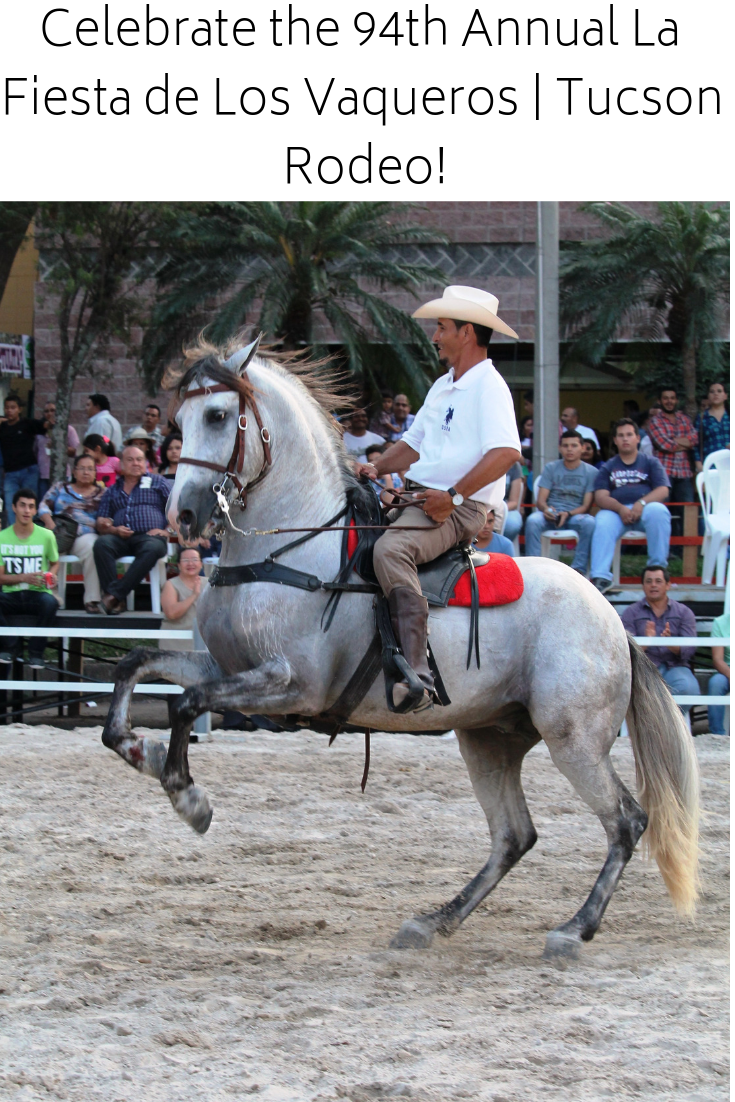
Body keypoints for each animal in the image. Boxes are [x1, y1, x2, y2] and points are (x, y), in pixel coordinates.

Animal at [100, 339, 700, 960]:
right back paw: (434, 921)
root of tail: (612, 621)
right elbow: (134, 667)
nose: (182, 515)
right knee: (514, 835)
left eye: (218, 416)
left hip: (573, 741)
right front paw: (137, 748)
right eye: (179, 421)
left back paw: (574, 928)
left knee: (626, 822)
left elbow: (186, 703)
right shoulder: (227, 666)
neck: (292, 550)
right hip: (489, 739)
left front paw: (186, 794)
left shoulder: (292, 685)